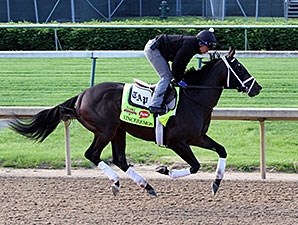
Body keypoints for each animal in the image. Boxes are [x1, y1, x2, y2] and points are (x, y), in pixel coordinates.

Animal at [9, 48, 260, 197]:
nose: (256, 87)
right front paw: (164, 169)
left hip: (119, 131)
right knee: (93, 154)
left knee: (120, 159)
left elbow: (222, 150)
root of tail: (81, 96)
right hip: (106, 130)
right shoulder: (177, 141)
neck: (193, 99)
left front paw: (216, 183)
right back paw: (118, 182)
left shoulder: (197, 137)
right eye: (239, 67)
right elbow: (195, 165)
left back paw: (146, 186)